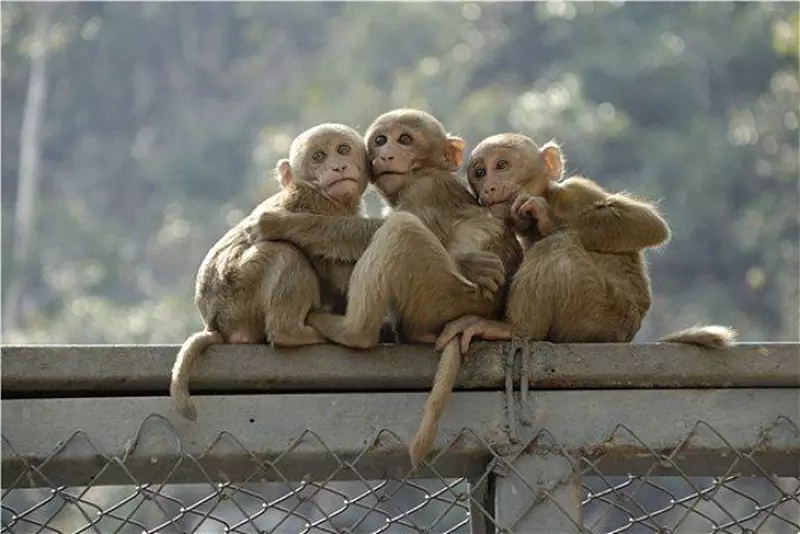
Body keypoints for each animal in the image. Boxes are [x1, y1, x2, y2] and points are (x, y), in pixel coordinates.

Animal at [244, 110, 524, 468]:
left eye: (404, 140)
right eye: (380, 140)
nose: (386, 154)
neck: (425, 171)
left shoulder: (425, 190)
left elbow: (386, 227)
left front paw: (281, 224)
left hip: (445, 296)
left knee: (399, 230)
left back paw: (353, 330)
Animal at [434, 132, 736, 354]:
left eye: (502, 165)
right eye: (480, 172)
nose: (489, 188)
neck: (551, 195)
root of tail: (627, 335)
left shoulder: (577, 190)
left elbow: (650, 225)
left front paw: (548, 217)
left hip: (600, 316)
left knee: (557, 248)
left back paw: (517, 329)